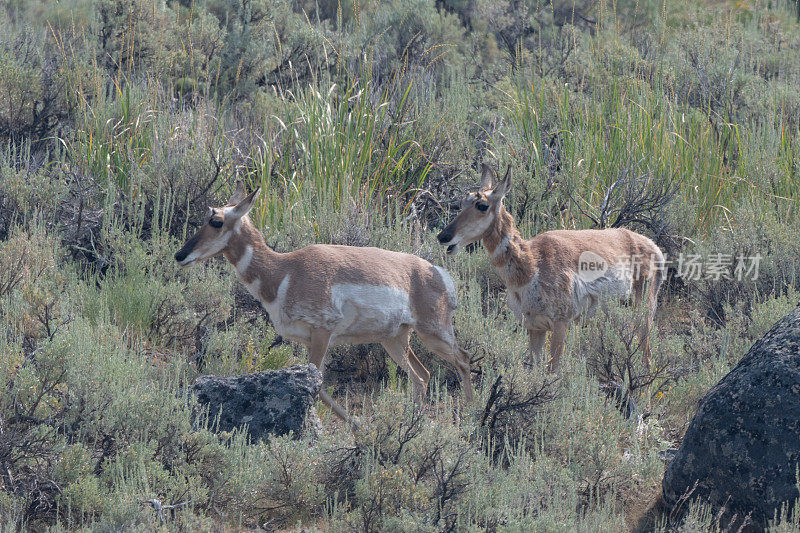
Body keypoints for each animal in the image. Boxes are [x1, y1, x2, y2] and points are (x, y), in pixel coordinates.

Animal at [174, 181, 472, 422]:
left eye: (216, 221)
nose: (180, 255)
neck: (285, 271)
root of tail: (437, 272)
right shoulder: (310, 340)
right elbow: (318, 387)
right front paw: (357, 425)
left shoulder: (322, 332)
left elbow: (317, 388)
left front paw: (355, 426)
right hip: (395, 340)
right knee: (422, 376)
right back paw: (413, 422)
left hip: (433, 334)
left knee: (463, 359)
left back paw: (470, 414)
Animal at [438, 165, 664, 370]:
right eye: (462, 201)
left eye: (482, 205)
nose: (443, 236)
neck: (532, 266)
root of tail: (653, 245)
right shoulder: (534, 327)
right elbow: (534, 370)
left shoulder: (560, 323)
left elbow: (553, 370)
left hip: (645, 310)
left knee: (647, 358)